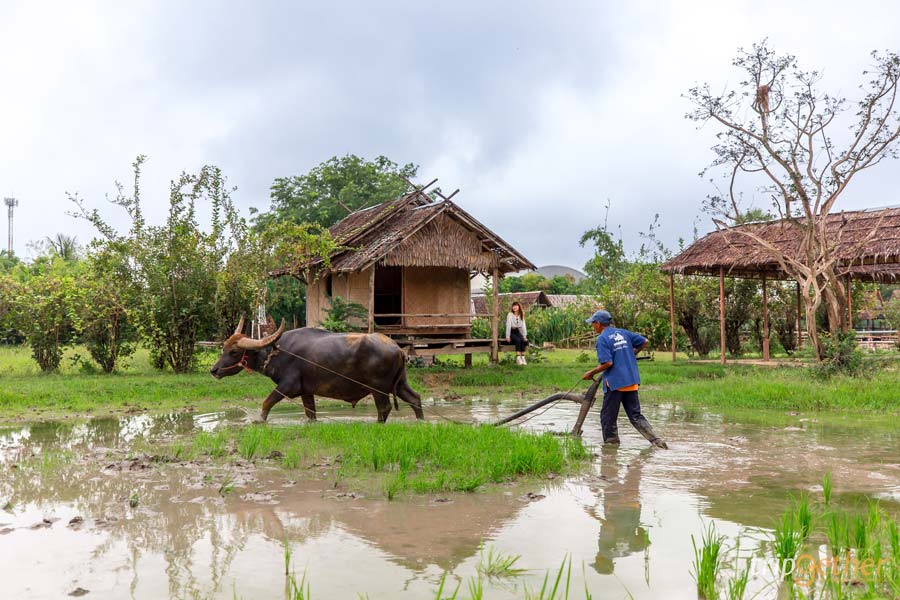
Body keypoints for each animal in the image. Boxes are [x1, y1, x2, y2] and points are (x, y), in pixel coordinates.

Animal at [211, 318, 426, 422]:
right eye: (223, 347)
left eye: (234, 351)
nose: (214, 370)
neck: (276, 352)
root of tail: (397, 349)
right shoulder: (306, 391)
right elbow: (310, 413)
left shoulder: (287, 386)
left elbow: (267, 402)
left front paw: (259, 420)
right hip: (400, 384)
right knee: (415, 399)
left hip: (378, 388)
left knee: (384, 408)